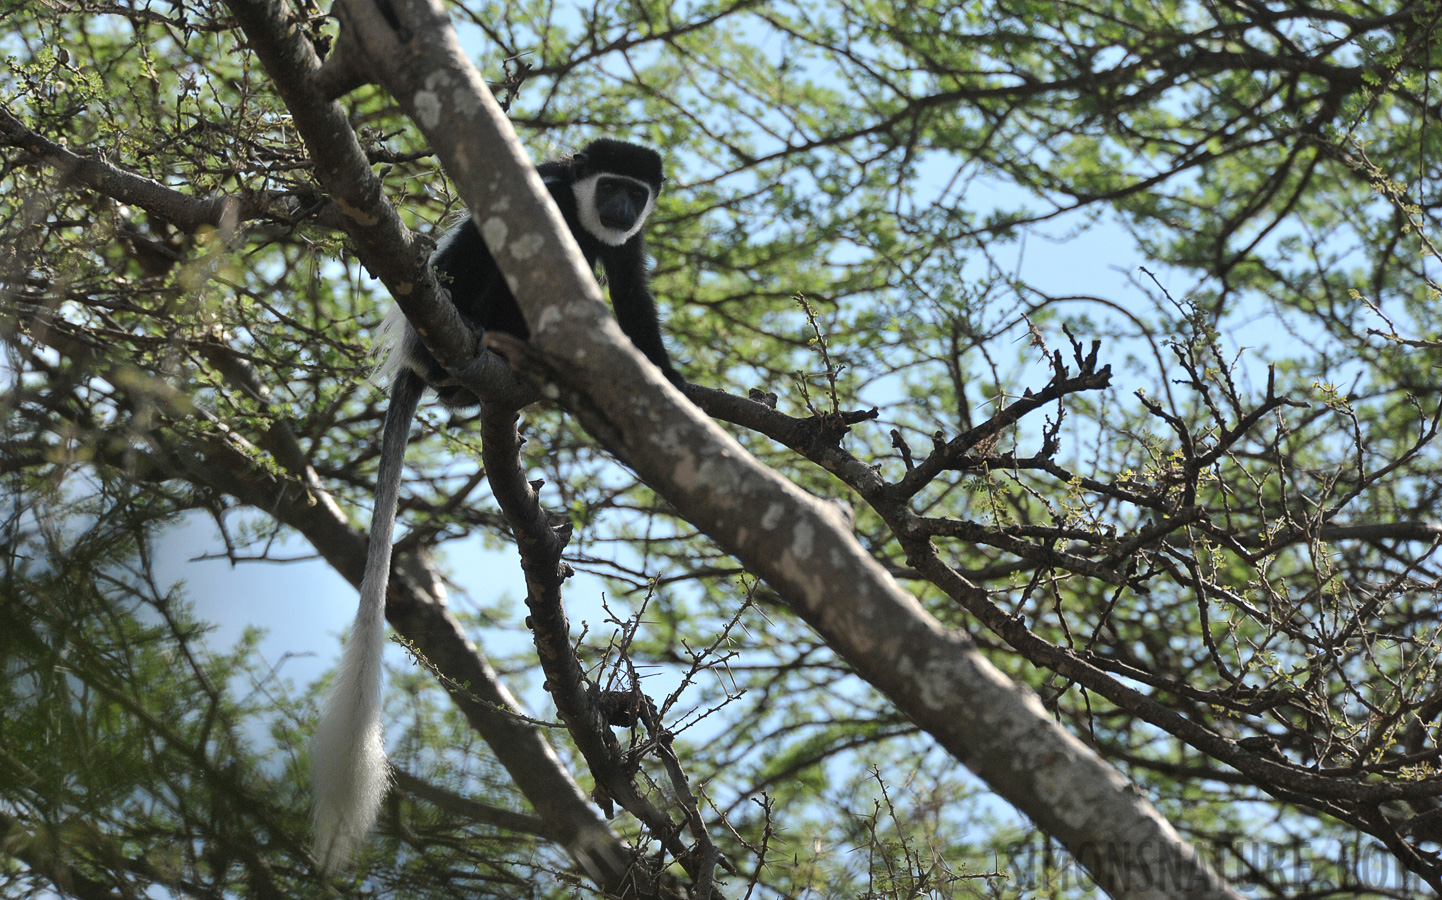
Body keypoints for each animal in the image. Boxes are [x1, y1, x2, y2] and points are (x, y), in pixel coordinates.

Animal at [310, 137, 674, 871]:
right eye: (611, 187)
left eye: (635, 193)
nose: (621, 208)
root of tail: (415, 360)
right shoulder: (544, 197)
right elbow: (488, 239)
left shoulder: (629, 247)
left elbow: (632, 300)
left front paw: (667, 387)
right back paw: (484, 343)